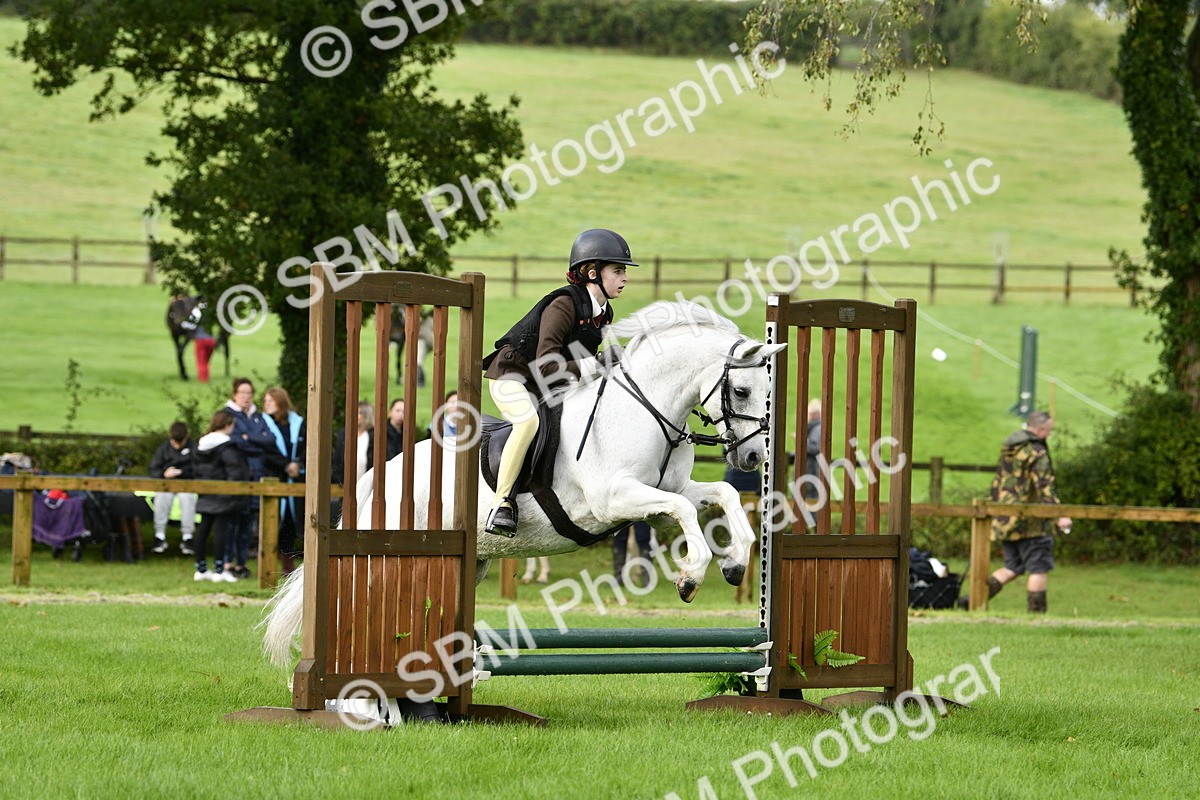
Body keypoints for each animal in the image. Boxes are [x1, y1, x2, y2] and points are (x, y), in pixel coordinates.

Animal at [263, 300, 785, 668]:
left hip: (468, 563)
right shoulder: (614, 499)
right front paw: (691, 576)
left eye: (768, 393)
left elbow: (719, 496)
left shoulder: (664, 493)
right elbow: (684, 510)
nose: (753, 457)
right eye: (741, 390)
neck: (645, 407)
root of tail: (384, 473)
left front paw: (736, 563)